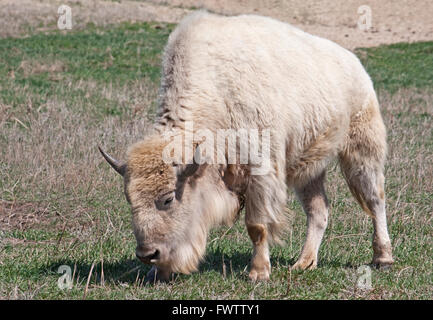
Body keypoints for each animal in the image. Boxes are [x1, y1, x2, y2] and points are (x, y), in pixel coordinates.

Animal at [99, 10, 394, 282]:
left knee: (375, 199)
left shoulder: (261, 173)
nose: (147, 254)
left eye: (169, 198)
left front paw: (258, 272)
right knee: (319, 211)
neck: (217, 93)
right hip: (308, 168)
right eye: (129, 198)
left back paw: (383, 258)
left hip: (361, 151)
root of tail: (355, 65)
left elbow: (257, 226)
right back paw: (304, 263)